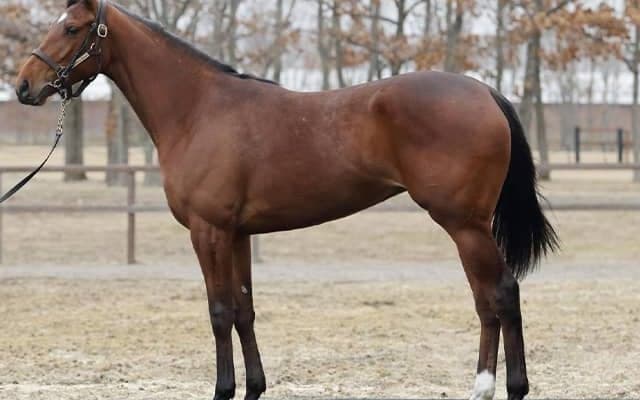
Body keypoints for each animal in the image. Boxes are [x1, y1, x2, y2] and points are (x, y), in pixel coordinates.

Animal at [15, 1, 558, 399]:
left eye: (72, 28)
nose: (23, 86)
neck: (198, 110)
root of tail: (484, 91)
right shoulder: (237, 235)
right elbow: (244, 310)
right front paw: (254, 388)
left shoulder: (208, 231)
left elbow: (218, 312)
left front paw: (223, 390)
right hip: (467, 227)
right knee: (489, 300)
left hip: (464, 224)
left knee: (500, 295)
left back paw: (503, 387)